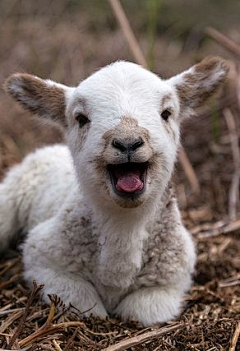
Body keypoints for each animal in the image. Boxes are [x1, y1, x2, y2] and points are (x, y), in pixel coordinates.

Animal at [0, 57, 229, 328]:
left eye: (166, 113)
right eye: (80, 118)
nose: (128, 142)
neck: (123, 226)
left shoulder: (173, 278)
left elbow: (142, 311)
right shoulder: (42, 257)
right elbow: (83, 302)